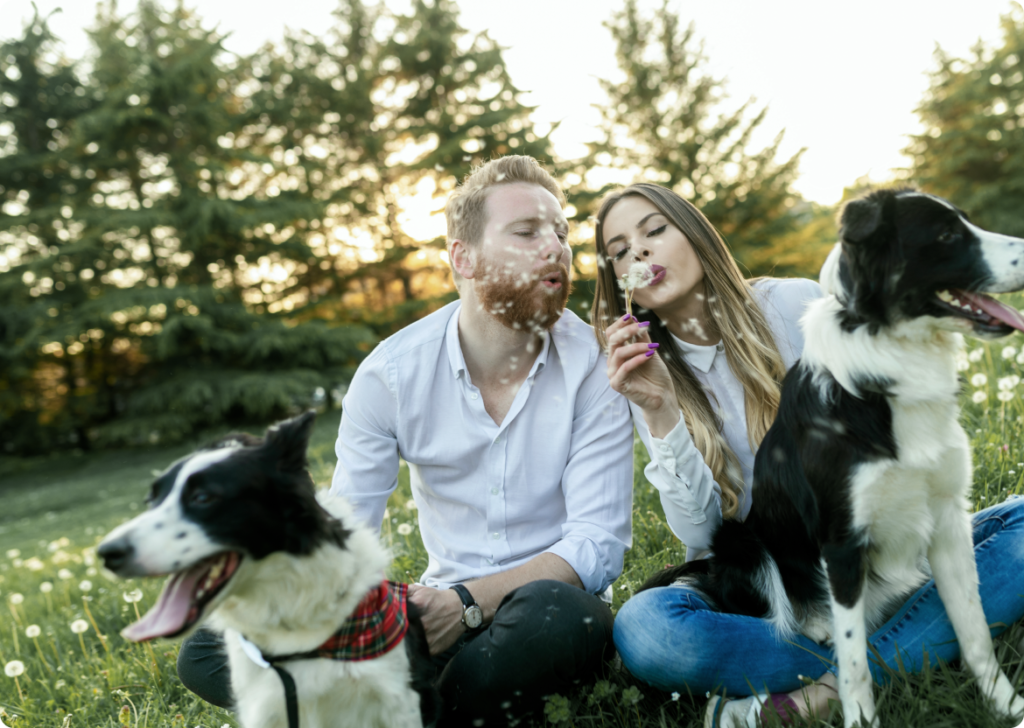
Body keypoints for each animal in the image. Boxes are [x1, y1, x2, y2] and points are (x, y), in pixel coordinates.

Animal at [643, 190, 1024, 724]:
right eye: (947, 235)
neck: (892, 358)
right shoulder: (842, 540)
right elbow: (854, 661)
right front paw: (860, 719)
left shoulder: (949, 519)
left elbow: (974, 631)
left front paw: (1006, 707)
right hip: (739, 538)